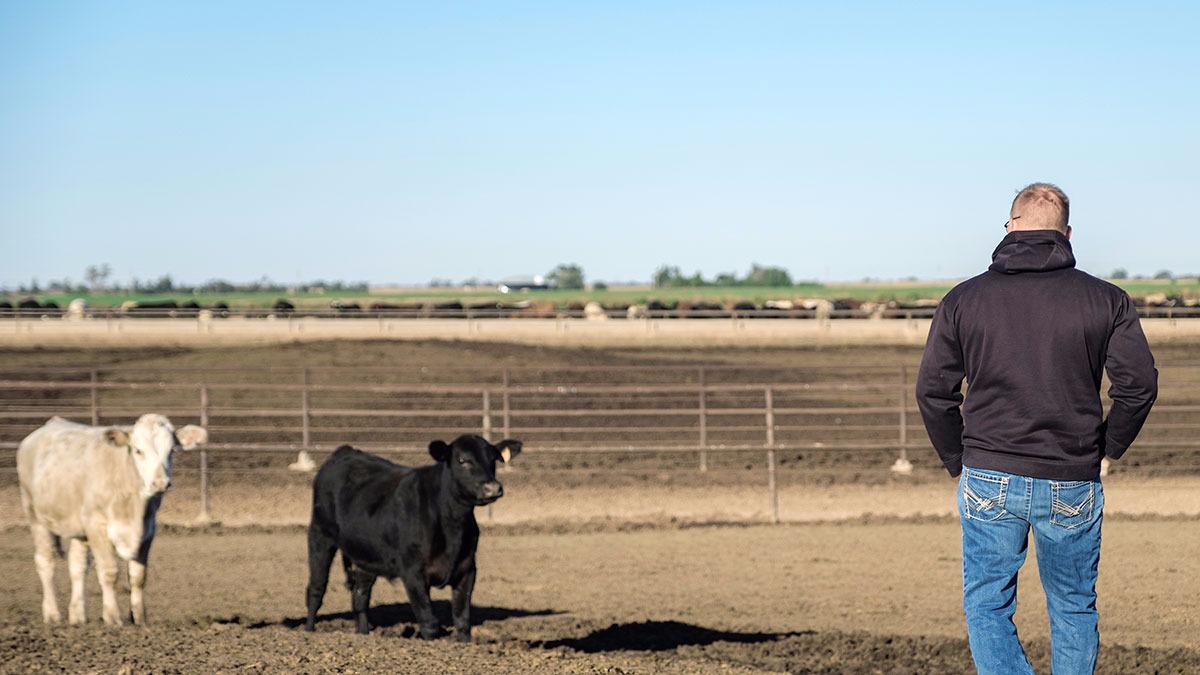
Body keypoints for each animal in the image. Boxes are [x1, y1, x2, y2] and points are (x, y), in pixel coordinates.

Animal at [15, 413, 206, 624]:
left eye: (171, 450)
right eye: (138, 450)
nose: (160, 483)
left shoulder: (148, 530)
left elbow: (138, 576)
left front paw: (139, 618)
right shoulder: (97, 526)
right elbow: (109, 571)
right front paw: (112, 617)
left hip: (79, 529)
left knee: (77, 566)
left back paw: (77, 616)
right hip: (35, 516)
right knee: (45, 562)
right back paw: (52, 614)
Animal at [304, 432, 520, 638]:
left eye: (493, 459)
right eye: (462, 460)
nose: (492, 488)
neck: (452, 525)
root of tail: (346, 451)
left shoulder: (467, 570)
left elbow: (462, 622)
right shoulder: (412, 572)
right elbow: (429, 623)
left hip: (366, 555)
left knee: (360, 595)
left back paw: (364, 634)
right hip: (320, 535)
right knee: (316, 589)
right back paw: (308, 630)